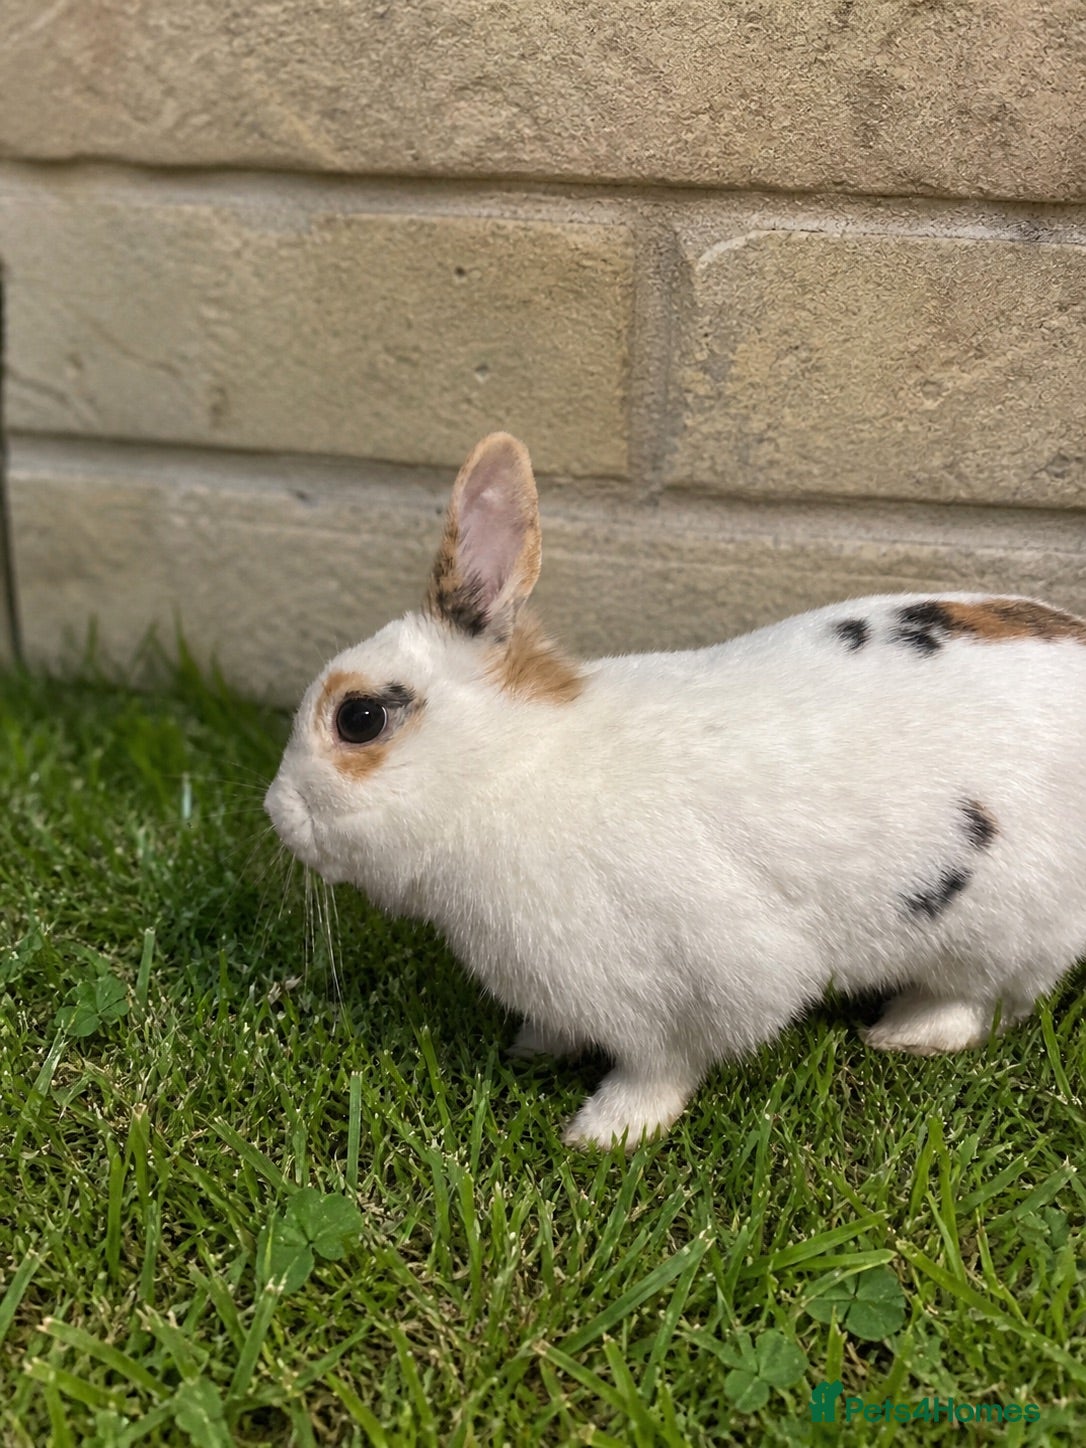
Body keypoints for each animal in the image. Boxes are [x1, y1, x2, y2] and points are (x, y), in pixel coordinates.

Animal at [265, 431, 1086, 1149]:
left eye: (360, 718)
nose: (276, 812)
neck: (508, 768)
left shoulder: (692, 990)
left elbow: (662, 1067)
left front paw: (604, 1133)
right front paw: (533, 1048)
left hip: (1001, 928)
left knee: (987, 999)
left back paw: (906, 1032)